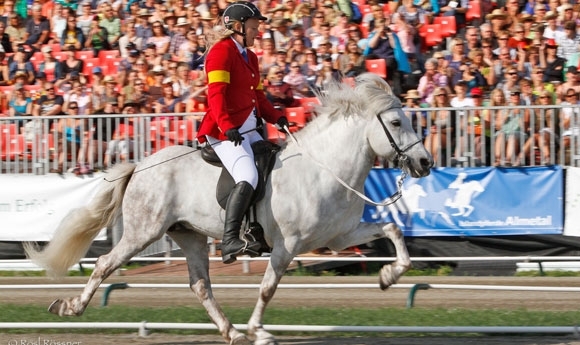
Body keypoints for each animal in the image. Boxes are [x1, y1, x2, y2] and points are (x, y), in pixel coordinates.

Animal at [24, 73, 430, 344]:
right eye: (396, 122)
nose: (424, 163)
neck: (323, 167)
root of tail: (141, 165)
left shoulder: (339, 236)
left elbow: (392, 231)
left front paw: (388, 276)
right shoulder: (288, 245)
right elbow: (268, 288)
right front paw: (260, 331)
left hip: (188, 236)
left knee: (200, 285)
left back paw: (230, 331)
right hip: (144, 232)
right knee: (105, 264)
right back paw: (70, 307)